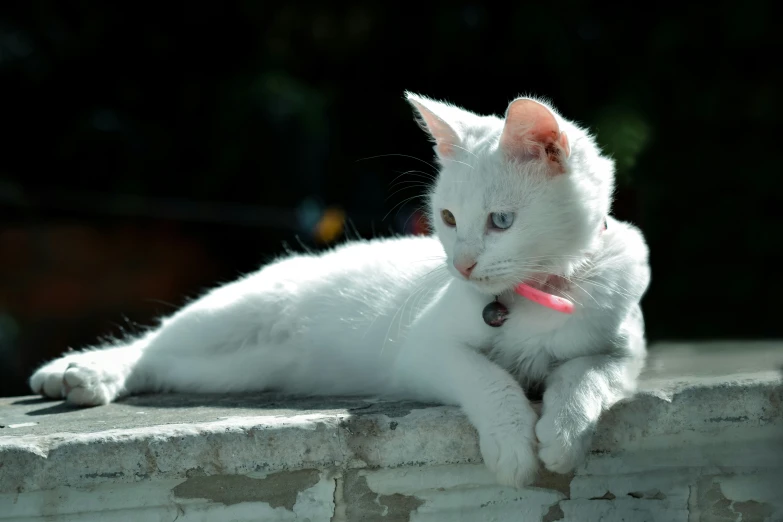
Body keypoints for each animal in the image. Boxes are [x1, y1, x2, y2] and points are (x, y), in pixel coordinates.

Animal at [29, 91, 648, 486]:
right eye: (447, 218)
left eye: (501, 222)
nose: (463, 266)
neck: (544, 290)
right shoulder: (424, 352)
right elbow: (489, 380)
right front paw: (514, 444)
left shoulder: (625, 350)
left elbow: (586, 375)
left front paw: (565, 433)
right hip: (233, 311)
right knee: (151, 343)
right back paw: (79, 372)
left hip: (229, 368)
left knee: (167, 365)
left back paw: (79, 379)